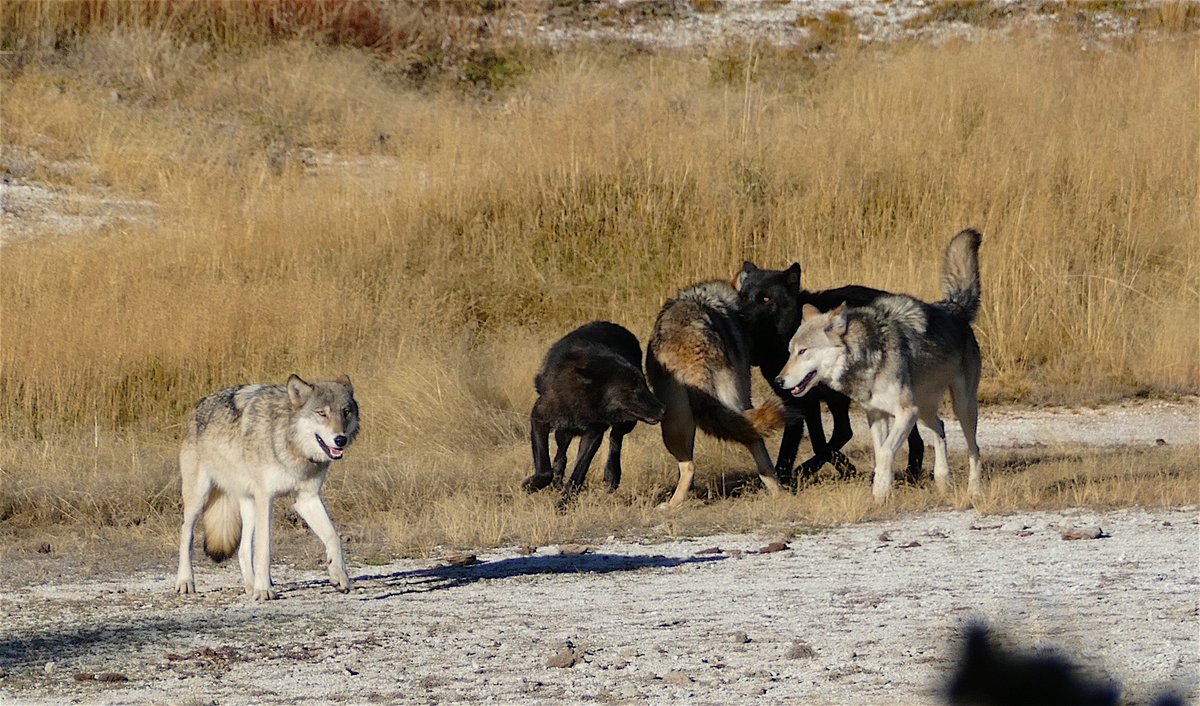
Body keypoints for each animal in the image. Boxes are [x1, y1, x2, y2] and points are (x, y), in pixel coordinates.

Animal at [175, 374, 360, 600]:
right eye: (322, 413)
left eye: (346, 412)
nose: (340, 439)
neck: (290, 444)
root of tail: (198, 405)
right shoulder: (266, 499)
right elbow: (264, 549)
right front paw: (264, 590)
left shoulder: (307, 498)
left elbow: (334, 537)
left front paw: (339, 576)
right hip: (199, 499)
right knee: (186, 534)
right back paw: (185, 581)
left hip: (249, 505)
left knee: (243, 550)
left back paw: (250, 586)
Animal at [520, 319, 662, 506]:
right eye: (631, 389)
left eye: (644, 384)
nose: (663, 409)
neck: (582, 397)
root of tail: (613, 324)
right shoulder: (539, 420)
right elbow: (544, 469)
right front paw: (530, 485)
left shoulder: (593, 435)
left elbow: (578, 475)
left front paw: (563, 505)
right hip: (563, 431)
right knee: (561, 454)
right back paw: (557, 481)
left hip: (626, 423)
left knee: (615, 441)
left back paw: (611, 476)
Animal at [729, 261, 926, 487]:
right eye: (743, 297)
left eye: (766, 299)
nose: (739, 316)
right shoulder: (801, 400)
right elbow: (819, 441)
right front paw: (844, 468)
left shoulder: (807, 402)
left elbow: (810, 444)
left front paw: (792, 476)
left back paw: (912, 472)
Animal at [777, 230, 984, 501]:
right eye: (790, 352)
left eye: (803, 352)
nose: (778, 381)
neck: (868, 360)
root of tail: (954, 306)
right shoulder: (876, 415)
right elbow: (880, 454)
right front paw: (882, 495)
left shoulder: (906, 413)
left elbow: (885, 453)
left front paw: (880, 492)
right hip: (926, 409)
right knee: (940, 429)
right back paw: (942, 480)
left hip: (960, 407)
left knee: (974, 448)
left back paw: (974, 490)